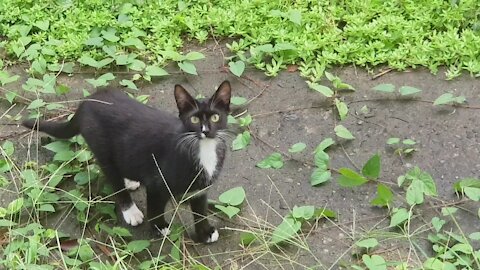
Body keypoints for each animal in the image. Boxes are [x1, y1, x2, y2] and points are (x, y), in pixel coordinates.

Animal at [23, 81, 232, 244]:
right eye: (194, 119)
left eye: (215, 117)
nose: (206, 131)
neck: (203, 149)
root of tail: (87, 102)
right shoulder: (157, 183)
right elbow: (155, 208)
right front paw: (159, 227)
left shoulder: (200, 188)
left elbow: (200, 211)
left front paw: (205, 233)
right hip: (102, 148)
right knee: (114, 179)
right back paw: (130, 210)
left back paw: (130, 181)